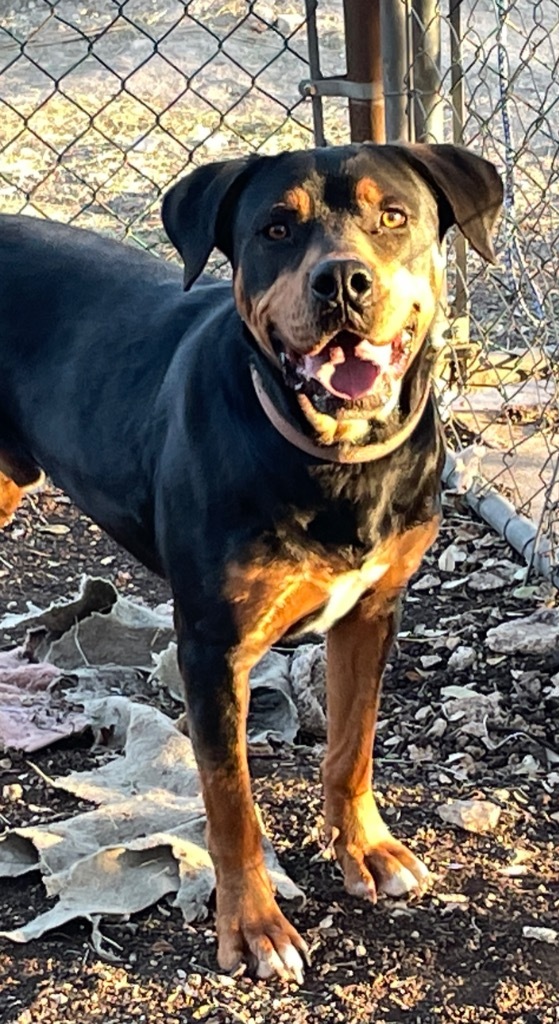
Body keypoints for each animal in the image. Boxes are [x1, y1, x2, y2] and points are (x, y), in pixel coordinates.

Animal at [0, 144, 499, 983]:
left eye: (393, 216)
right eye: (275, 228)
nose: (342, 280)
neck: (332, 459)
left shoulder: (372, 613)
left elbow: (350, 747)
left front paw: (364, 851)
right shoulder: (211, 646)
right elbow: (230, 801)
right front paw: (254, 926)